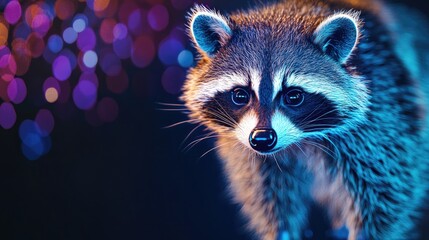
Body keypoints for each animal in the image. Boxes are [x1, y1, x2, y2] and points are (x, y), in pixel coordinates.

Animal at [179, 0, 428, 238]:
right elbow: (269, 199)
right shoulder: (250, 157)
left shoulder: (383, 118)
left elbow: (388, 195)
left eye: (294, 96)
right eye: (240, 95)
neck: (303, 139)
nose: (262, 139)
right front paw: (280, 232)